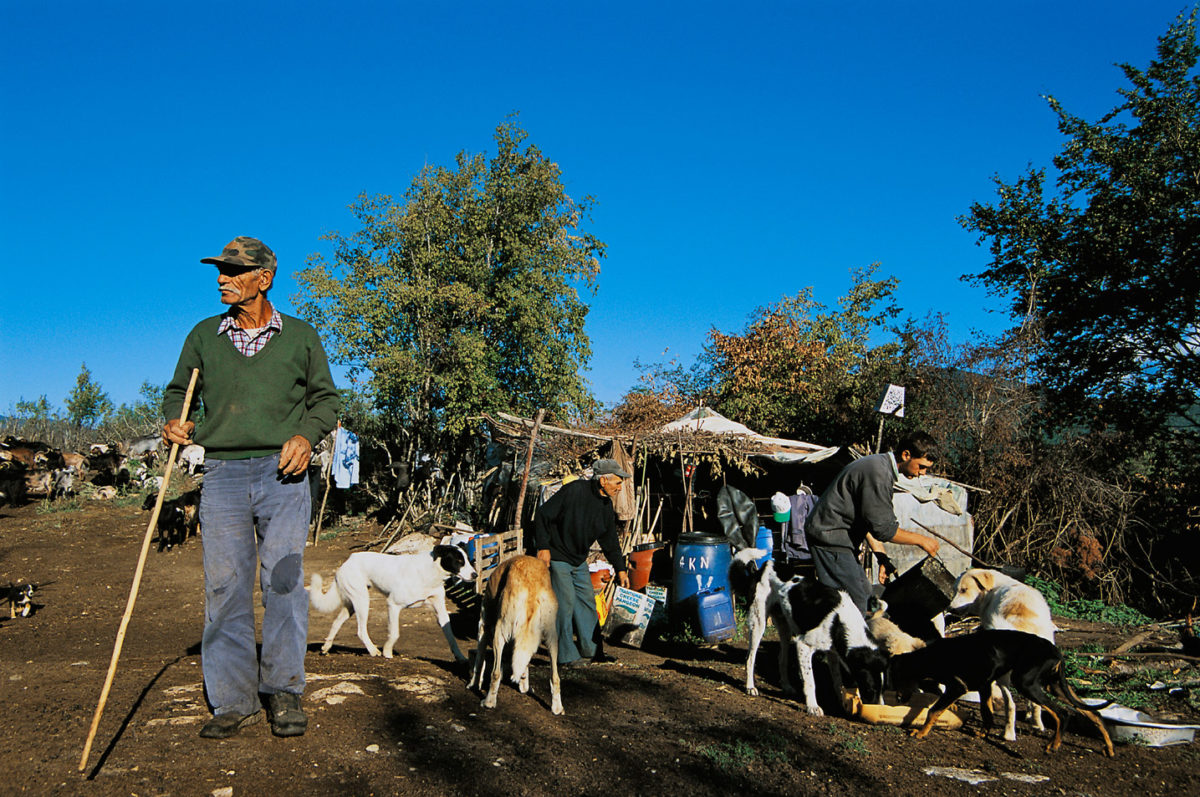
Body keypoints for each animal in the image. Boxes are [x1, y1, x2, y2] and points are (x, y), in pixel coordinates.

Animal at [307, 544, 475, 662]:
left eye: (468, 560)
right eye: (459, 561)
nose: (475, 575)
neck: (430, 572)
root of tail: (349, 559)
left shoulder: (440, 612)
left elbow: (451, 636)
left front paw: (460, 656)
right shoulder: (393, 605)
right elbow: (394, 633)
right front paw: (387, 652)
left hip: (352, 604)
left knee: (336, 622)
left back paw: (326, 646)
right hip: (362, 600)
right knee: (361, 630)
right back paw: (373, 650)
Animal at [468, 554, 561, 715]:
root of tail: (532, 584)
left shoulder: (483, 627)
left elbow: (479, 661)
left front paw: (473, 684)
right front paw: (524, 682)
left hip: (500, 632)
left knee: (496, 673)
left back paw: (489, 701)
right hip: (552, 638)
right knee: (555, 677)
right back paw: (557, 707)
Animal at [724, 547, 888, 715]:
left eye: (884, 690)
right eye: (870, 689)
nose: (880, 711)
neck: (839, 621)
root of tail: (763, 568)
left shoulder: (832, 653)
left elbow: (837, 681)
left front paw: (841, 702)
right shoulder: (803, 645)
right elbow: (810, 682)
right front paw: (813, 707)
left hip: (785, 629)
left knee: (781, 658)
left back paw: (786, 686)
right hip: (759, 623)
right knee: (750, 658)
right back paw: (750, 687)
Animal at [892, 628, 1113, 753]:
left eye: (898, 680)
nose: (899, 700)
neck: (930, 657)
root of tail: (1056, 650)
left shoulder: (958, 686)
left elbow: (933, 710)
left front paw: (920, 733)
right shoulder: (984, 685)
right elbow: (987, 713)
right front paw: (983, 734)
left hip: (1026, 684)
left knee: (1062, 714)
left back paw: (1053, 745)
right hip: (1054, 685)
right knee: (1093, 713)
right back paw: (1108, 748)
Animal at [950, 566, 1056, 739]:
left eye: (963, 590)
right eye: (954, 590)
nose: (950, 608)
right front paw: (1030, 717)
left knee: (1010, 704)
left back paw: (1008, 734)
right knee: (1033, 703)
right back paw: (1035, 725)